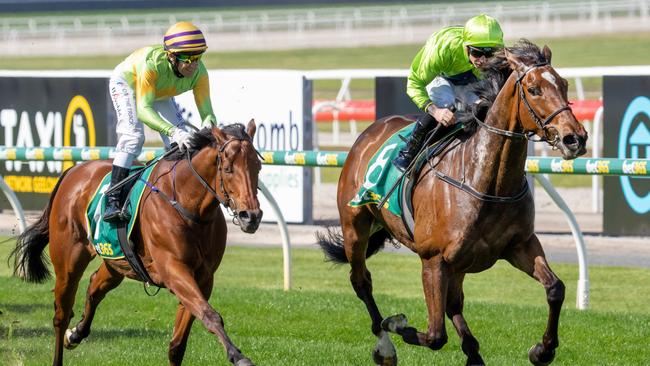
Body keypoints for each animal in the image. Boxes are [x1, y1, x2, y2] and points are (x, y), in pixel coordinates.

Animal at [11, 121, 262, 366]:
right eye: (228, 168)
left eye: (258, 167)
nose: (251, 216)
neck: (186, 202)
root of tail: (74, 170)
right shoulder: (173, 270)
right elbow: (209, 314)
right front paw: (238, 356)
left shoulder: (204, 278)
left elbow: (178, 345)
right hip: (68, 261)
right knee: (61, 315)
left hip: (117, 261)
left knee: (94, 286)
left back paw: (75, 334)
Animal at [318, 40, 588, 366]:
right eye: (534, 89)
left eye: (564, 84)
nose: (575, 138)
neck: (486, 182)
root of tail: (371, 130)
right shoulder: (433, 259)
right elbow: (435, 335)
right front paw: (396, 324)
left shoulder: (520, 245)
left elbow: (555, 289)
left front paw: (542, 350)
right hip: (355, 228)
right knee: (362, 282)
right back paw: (385, 344)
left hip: (459, 263)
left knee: (453, 304)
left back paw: (473, 353)